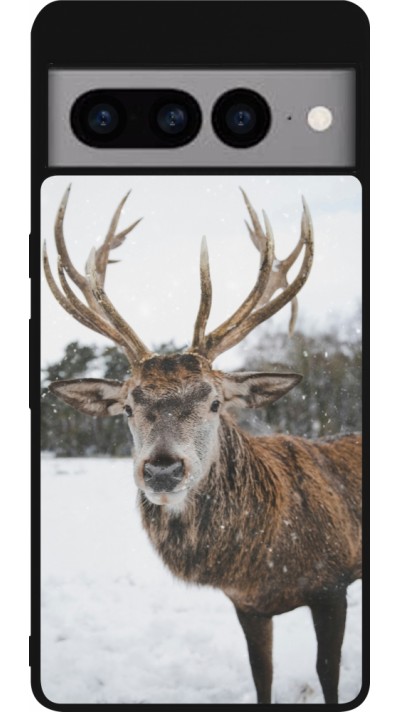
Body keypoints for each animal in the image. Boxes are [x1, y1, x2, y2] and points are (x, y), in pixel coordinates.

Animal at [43, 186, 362, 704]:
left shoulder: (333, 583)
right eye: (128, 406)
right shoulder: (248, 605)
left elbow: (327, 673)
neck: (264, 560)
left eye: (214, 402)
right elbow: (262, 675)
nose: (162, 470)